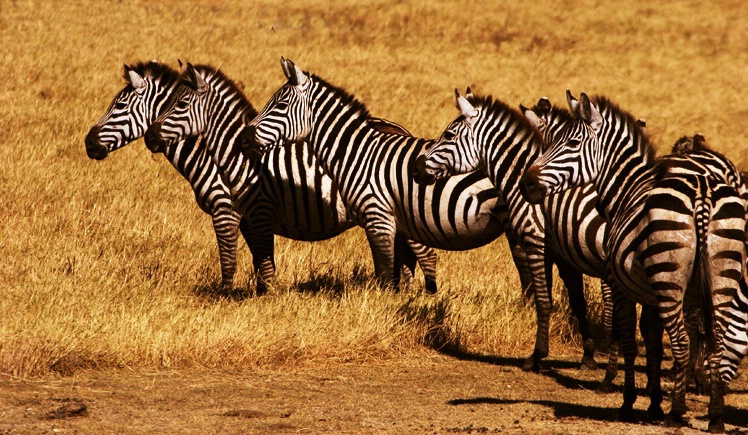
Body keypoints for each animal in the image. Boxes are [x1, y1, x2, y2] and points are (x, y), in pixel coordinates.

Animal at [86, 59, 438, 294]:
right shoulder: (247, 218)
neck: (221, 153)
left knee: (425, 253)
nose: (88, 143)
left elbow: (230, 258)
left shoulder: (229, 210)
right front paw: (259, 295)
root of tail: (401, 130)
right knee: (407, 259)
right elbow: (258, 259)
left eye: (119, 105)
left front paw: (228, 296)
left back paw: (424, 295)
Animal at [243, 57, 604, 372]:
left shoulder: (378, 217)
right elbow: (398, 274)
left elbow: (385, 275)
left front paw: (381, 316)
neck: (358, 155)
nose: (245, 140)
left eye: (279, 105)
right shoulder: (397, 224)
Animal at [516, 92, 744, 432]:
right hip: (721, 276)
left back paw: (677, 413)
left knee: (681, 342)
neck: (627, 188)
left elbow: (629, 342)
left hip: (669, 279)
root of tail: (702, 192)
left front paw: (629, 404)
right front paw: (654, 403)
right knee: (716, 343)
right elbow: (653, 343)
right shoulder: (653, 292)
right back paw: (715, 417)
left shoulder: (620, 283)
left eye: (571, 143)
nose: (526, 184)